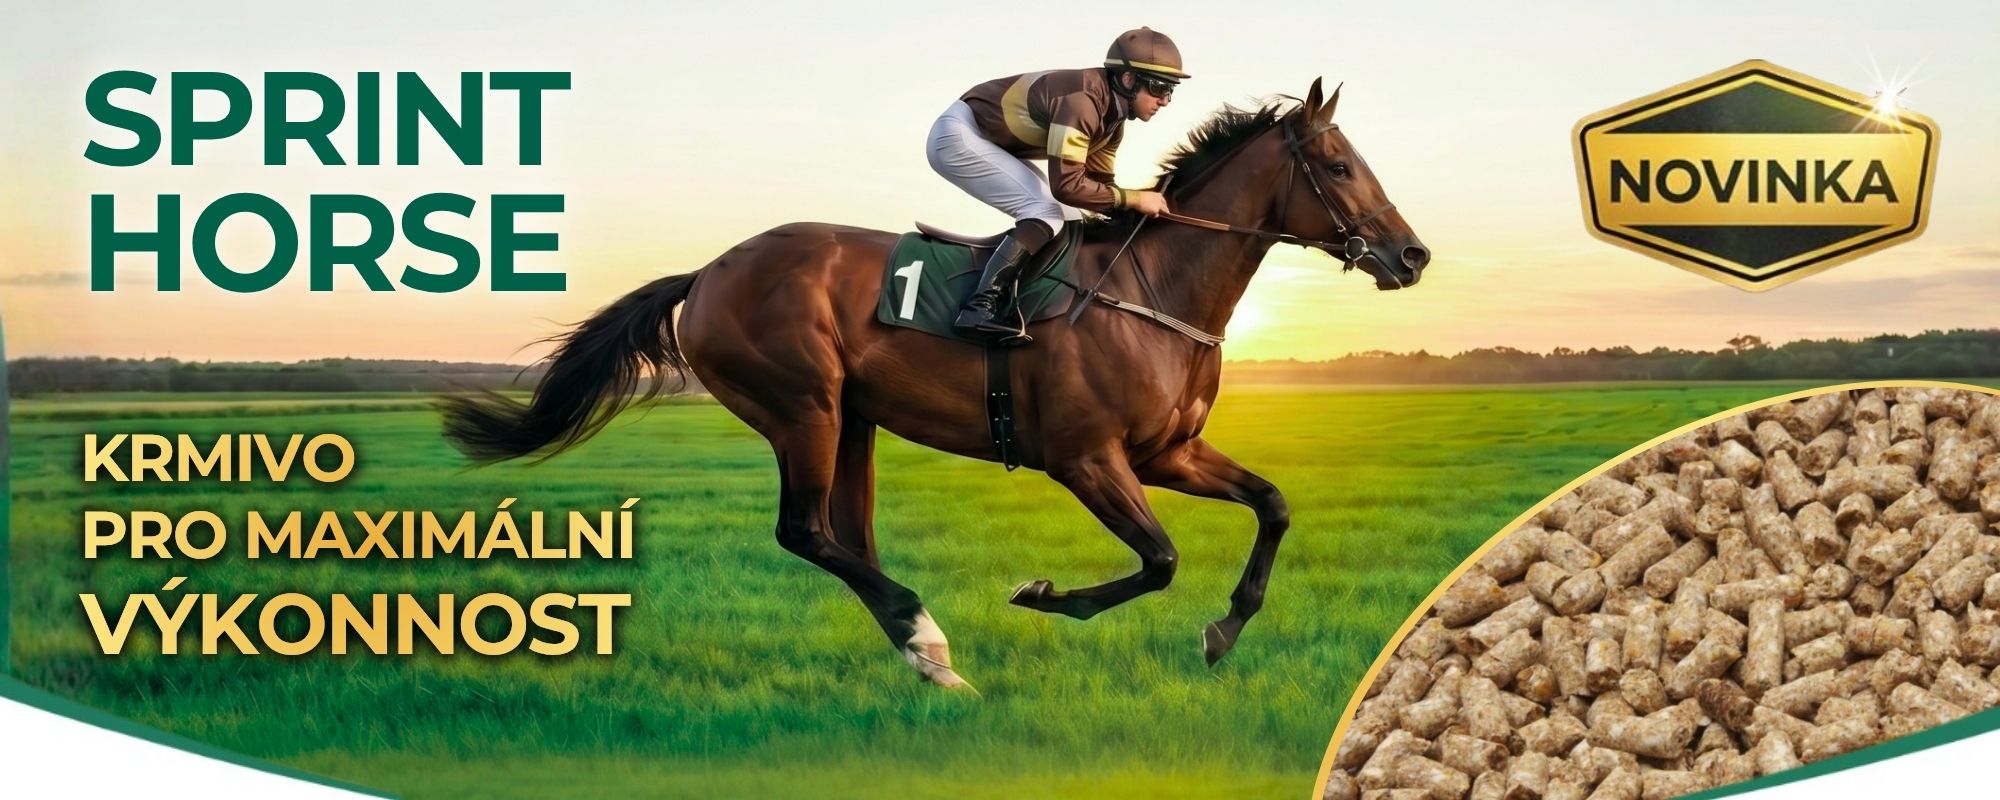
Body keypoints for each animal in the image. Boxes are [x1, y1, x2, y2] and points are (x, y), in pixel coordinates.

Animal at [439, 78, 1430, 690]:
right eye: (1337, 166)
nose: (1412, 256)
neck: (1155, 289)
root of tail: (711, 271)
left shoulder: (1167, 452)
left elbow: (1272, 505)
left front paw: (1226, 628)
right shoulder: (1086, 458)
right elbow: (1159, 560)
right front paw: (1043, 596)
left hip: (854, 421)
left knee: (847, 536)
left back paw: (926, 659)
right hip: (802, 406)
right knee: (805, 532)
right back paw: (925, 633)